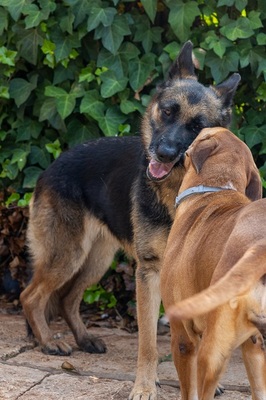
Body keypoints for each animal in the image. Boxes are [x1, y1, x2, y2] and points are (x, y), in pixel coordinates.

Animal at [19, 41, 240, 400]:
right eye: (168, 111)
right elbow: (148, 342)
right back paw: (50, 342)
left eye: (196, 127)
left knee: (67, 298)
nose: (163, 154)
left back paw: (84, 338)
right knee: (31, 295)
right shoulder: (149, 273)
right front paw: (145, 387)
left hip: (97, 260)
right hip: (68, 255)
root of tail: (54, 164)